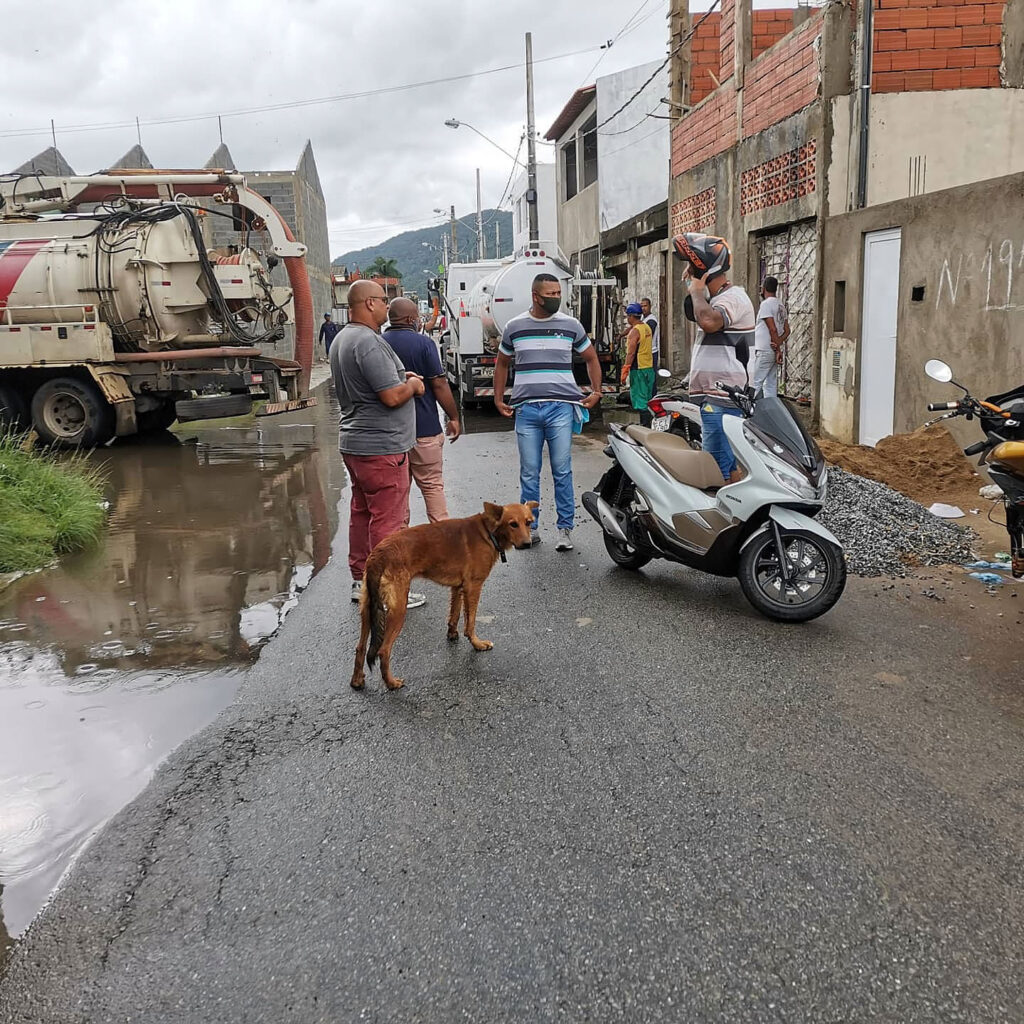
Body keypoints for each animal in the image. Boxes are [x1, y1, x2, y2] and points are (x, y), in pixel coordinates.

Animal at [352, 499, 540, 692]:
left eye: (528, 522)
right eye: (513, 524)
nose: (527, 544)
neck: (487, 532)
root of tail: (378, 555)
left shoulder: (458, 588)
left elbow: (454, 615)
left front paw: (452, 634)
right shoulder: (473, 587)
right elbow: (470, 622)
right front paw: (477, 644)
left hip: (368, 609)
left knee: (360, 647)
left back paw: (357, 681)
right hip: (397, 610)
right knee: (383, 650)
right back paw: (391, 683)